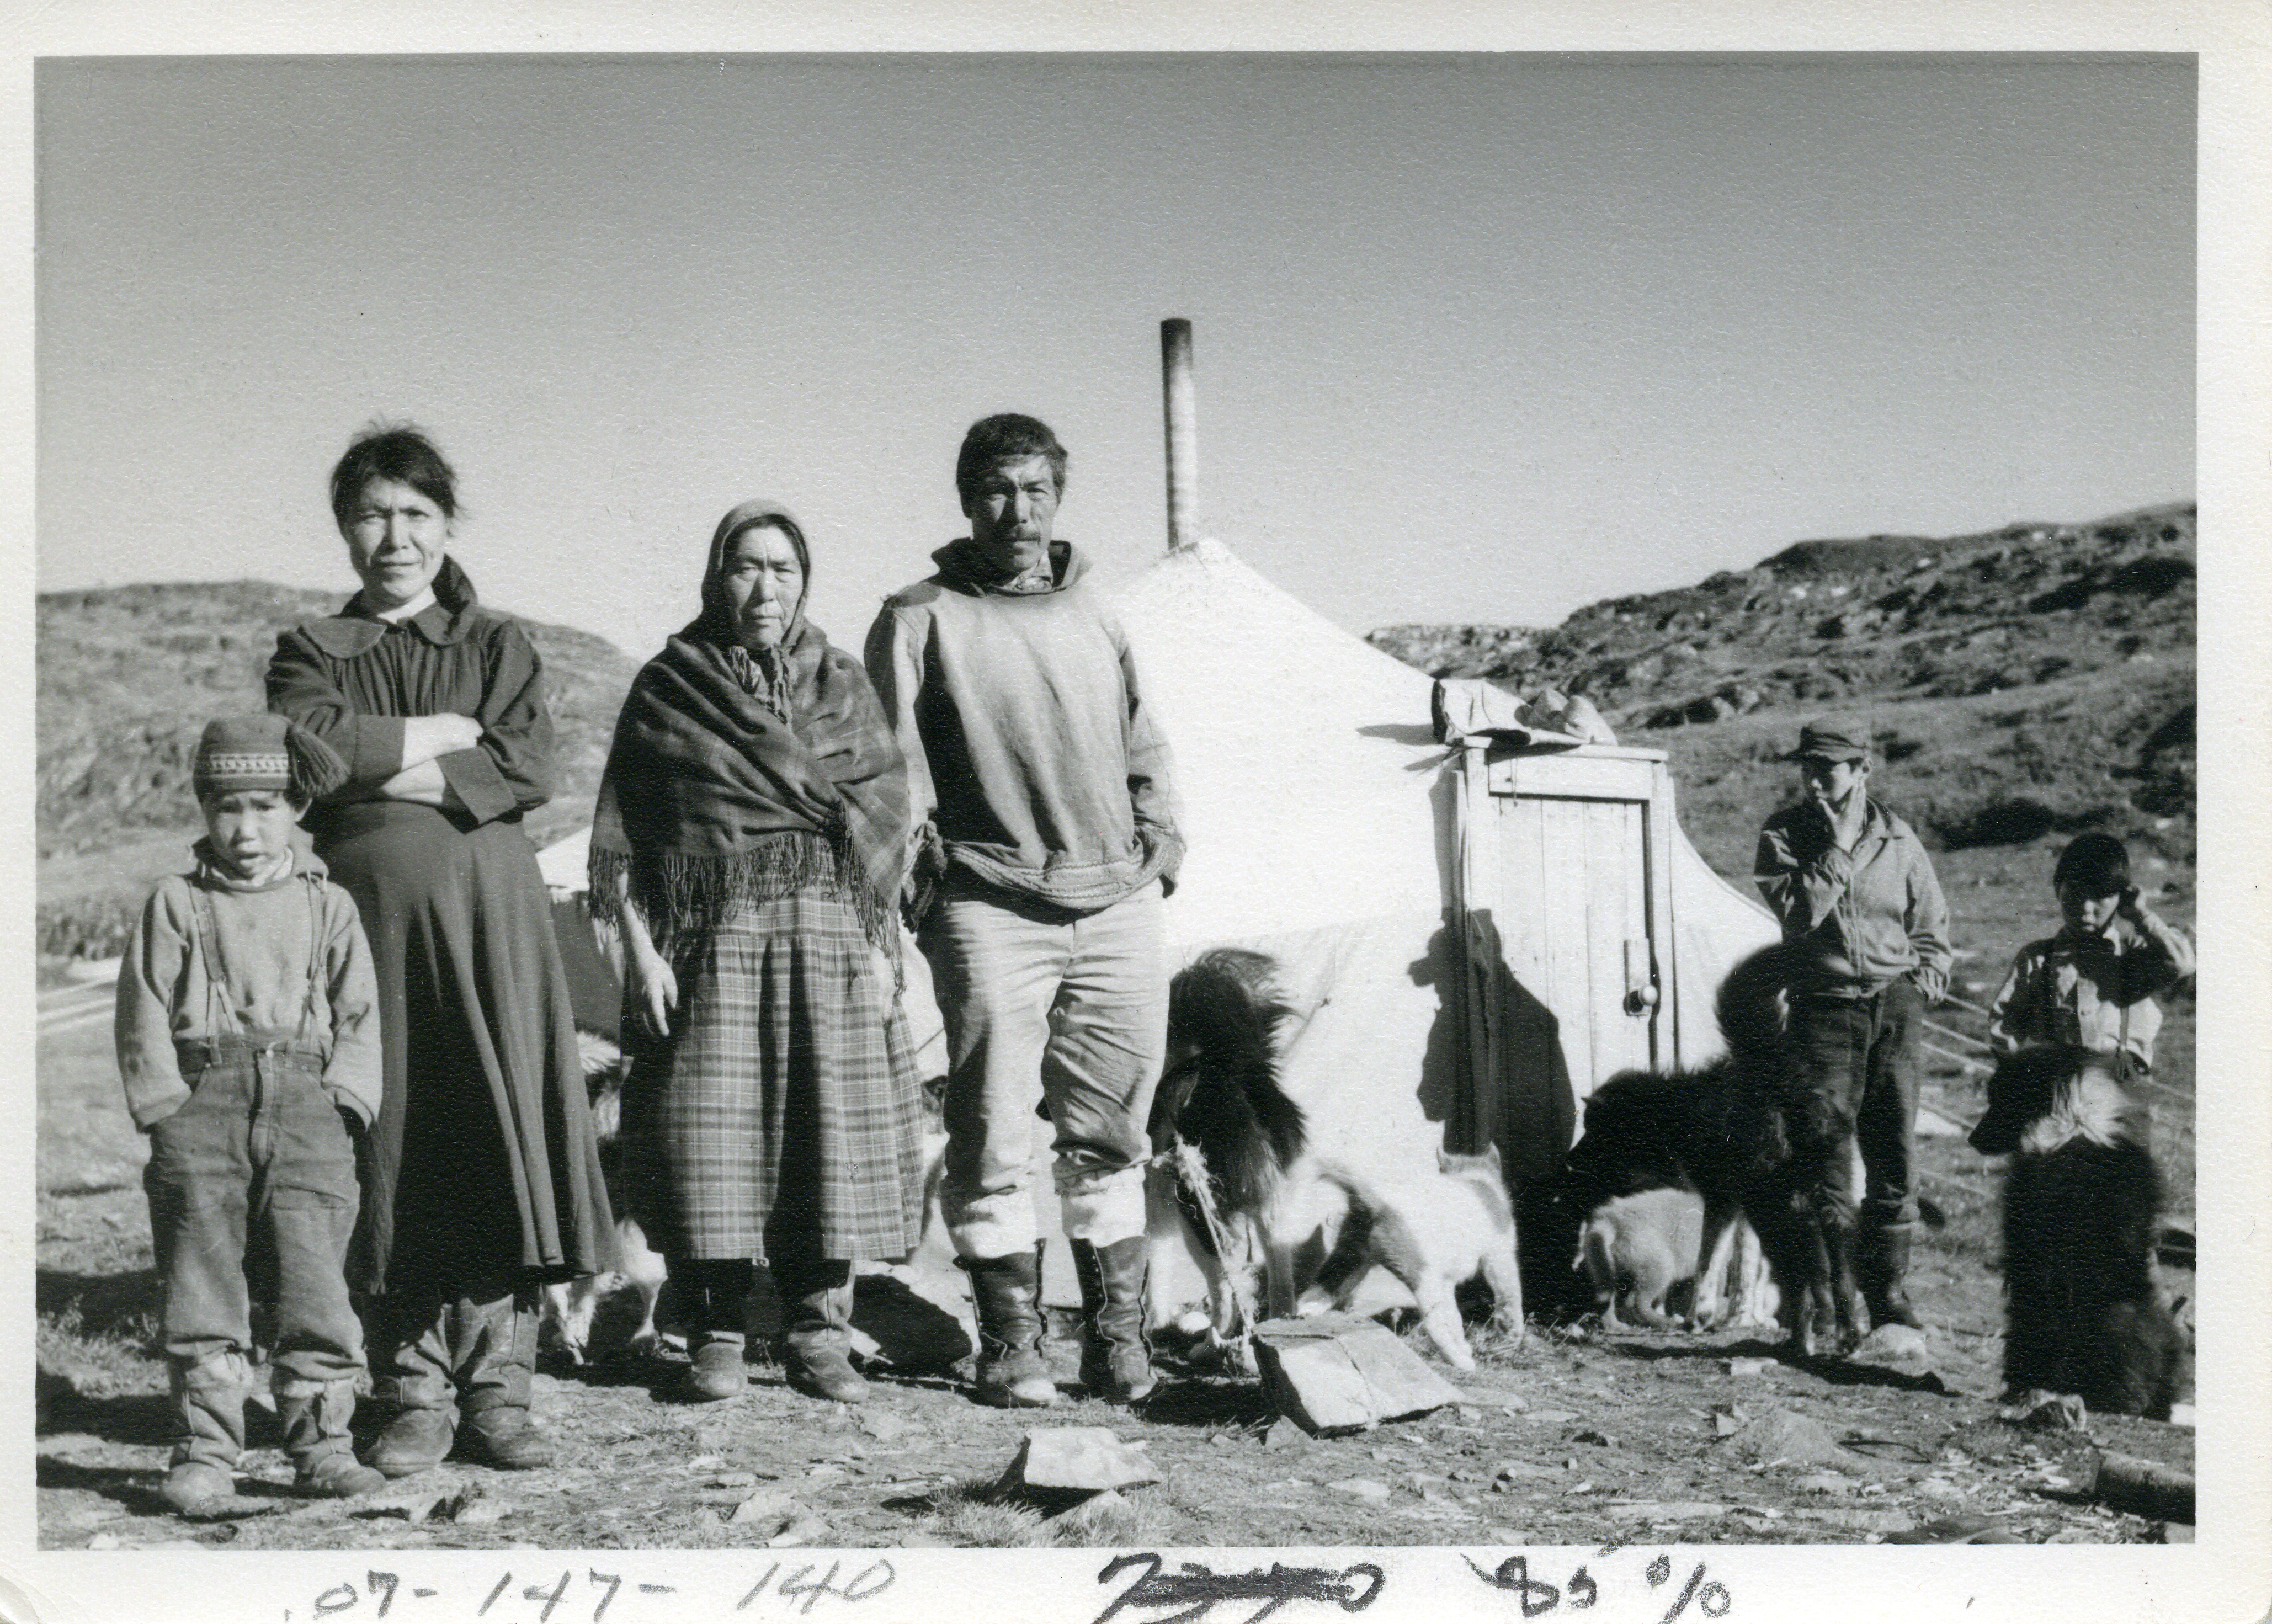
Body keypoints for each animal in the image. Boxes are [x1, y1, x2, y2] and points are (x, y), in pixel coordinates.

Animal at [1563, 945, 1863, 1362]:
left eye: (1596, 1131)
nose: (1569, 1159)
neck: (1676, 1112)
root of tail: (1778, 1072)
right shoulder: (1732, 1205)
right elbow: (1726, 1262)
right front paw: (1714, 1314)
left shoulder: (1720, 1198)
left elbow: (1708, 1261)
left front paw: (1698, 1315)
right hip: (1826, 1194)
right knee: (1835, 1262)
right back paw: (1845, 1334)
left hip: (1772, 1204)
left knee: (1802, 1270)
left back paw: (1802, 1339)